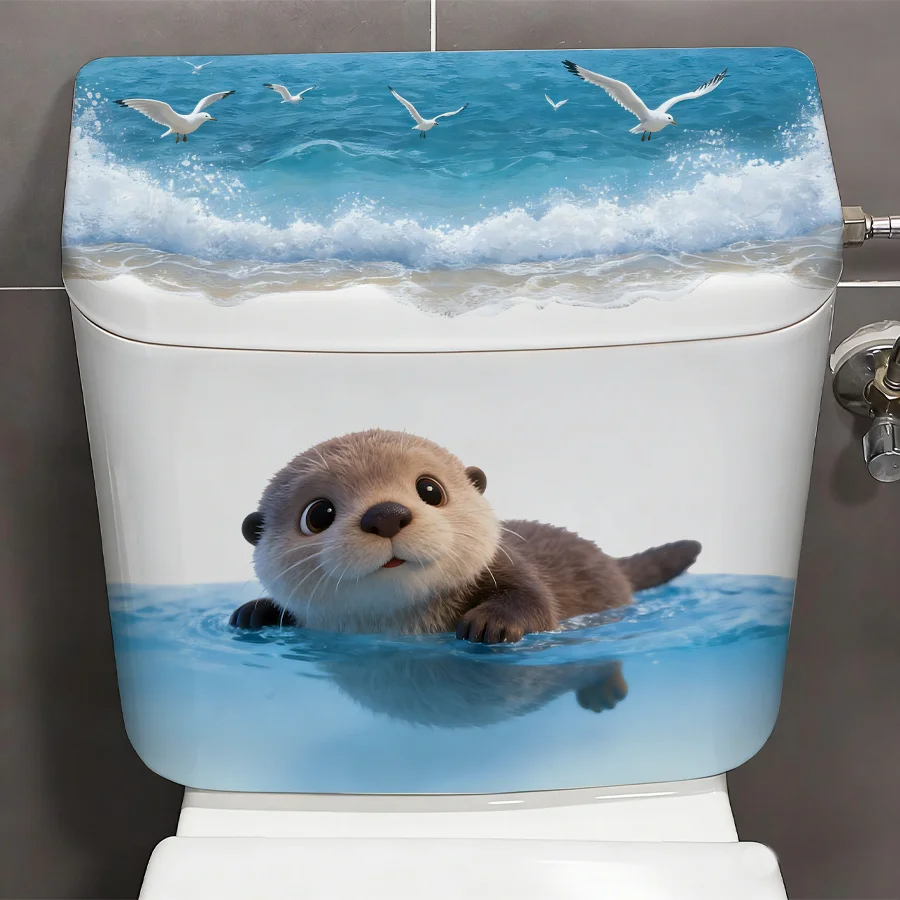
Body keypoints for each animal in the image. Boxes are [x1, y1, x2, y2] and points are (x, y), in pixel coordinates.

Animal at [229, 429, 701, 644]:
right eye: (318, 514)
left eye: (429, 489)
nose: (386, 515)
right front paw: (256, 611)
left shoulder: (509, 566)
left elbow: (537, 603)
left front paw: (494, 622)